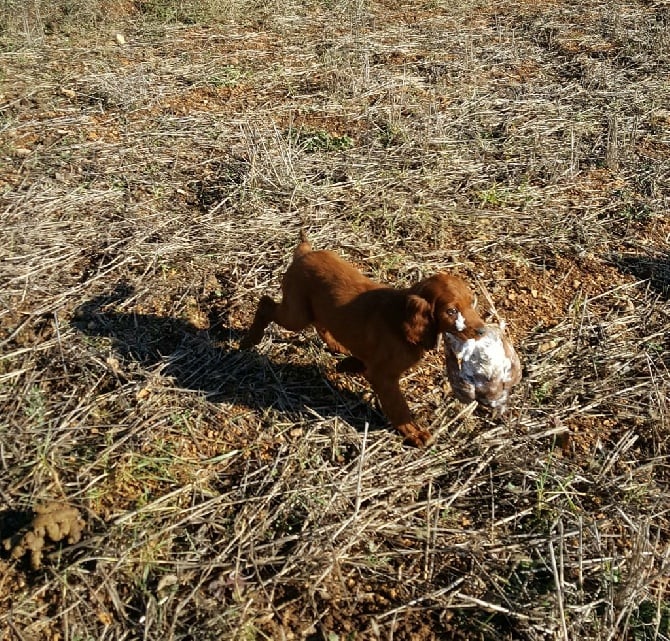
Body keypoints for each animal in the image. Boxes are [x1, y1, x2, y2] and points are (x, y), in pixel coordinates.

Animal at [244, 234, 486, 444]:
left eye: (471, 302)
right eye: (451, 311)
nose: (483, 331)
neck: (402, 318)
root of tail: (305, 253)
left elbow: (361, 363)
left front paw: (347, 365)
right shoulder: (384, 377)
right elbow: (398, 406)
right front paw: (413, 432)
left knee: (320, 323)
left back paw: (336, 345)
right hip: (297, 314)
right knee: (266, 304)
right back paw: (250, 339)